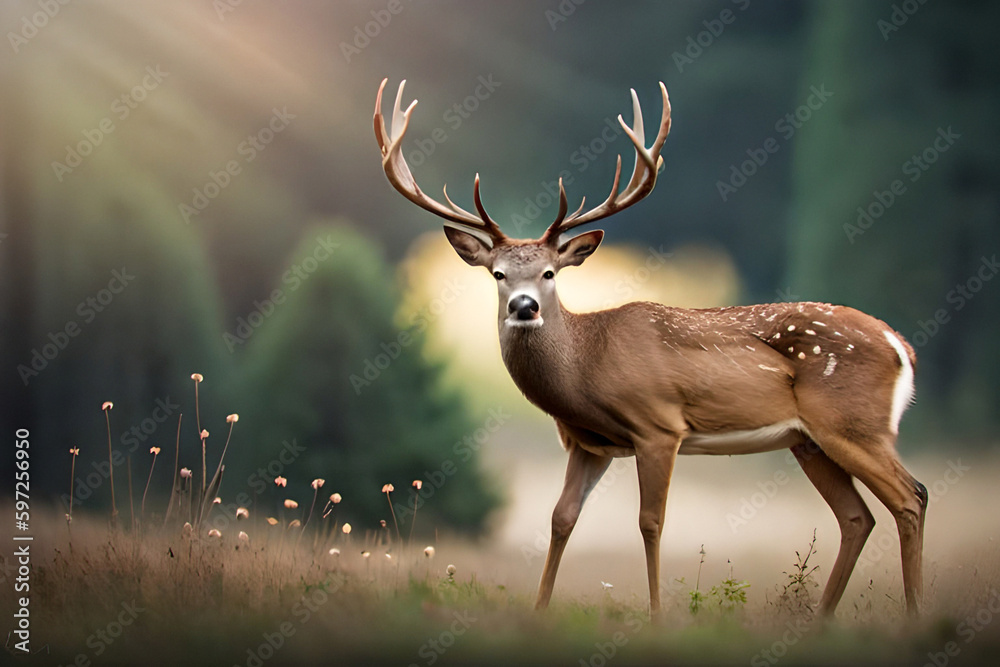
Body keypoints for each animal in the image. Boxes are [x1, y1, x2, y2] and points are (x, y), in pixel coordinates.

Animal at [373, 78, 927, 617]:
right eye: (498, 274)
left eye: (550, 273)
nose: (524, 306)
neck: (585, 368)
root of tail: (900, 345)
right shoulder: (587, 443)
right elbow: (561, 519)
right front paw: (539, 611)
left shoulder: (659, 425)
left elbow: (650, 522)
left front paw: (658, 615)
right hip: (808, 440)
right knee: (857, 517)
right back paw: (823, 620)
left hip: (851, 422)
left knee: (910, 496)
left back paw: (913, 615)